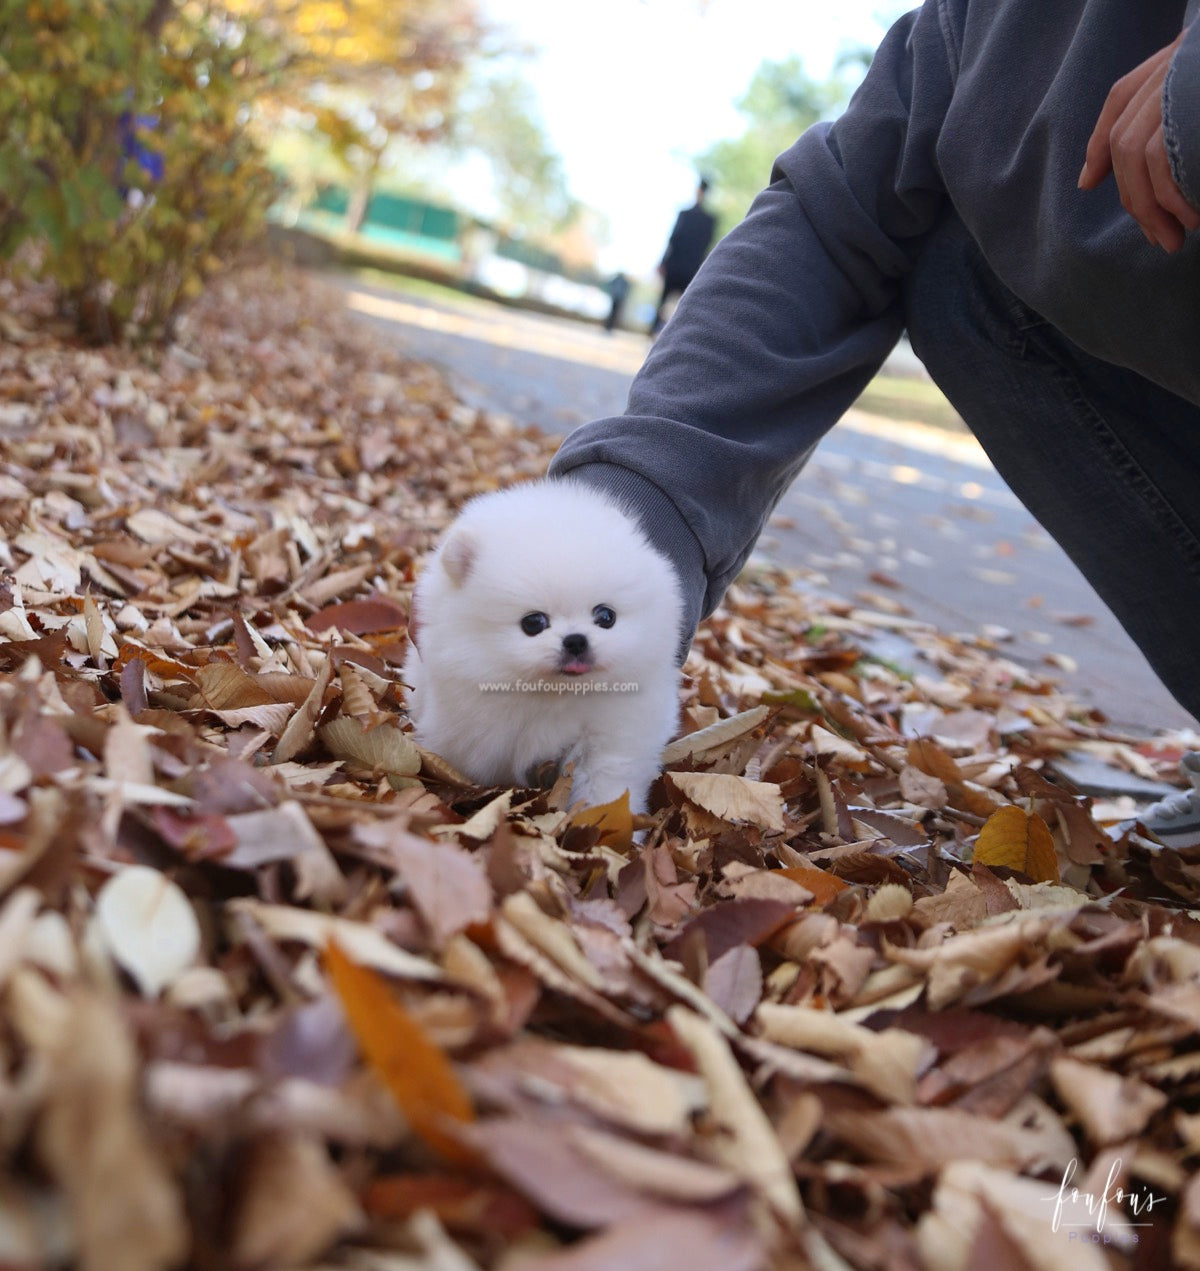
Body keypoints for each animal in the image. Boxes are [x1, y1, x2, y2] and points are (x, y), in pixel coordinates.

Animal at [404, 477, 681, 813]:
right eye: (533, 622)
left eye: (606, 616)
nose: (576, 640)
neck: (554, 697)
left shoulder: (613, 734)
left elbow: (606, 781)